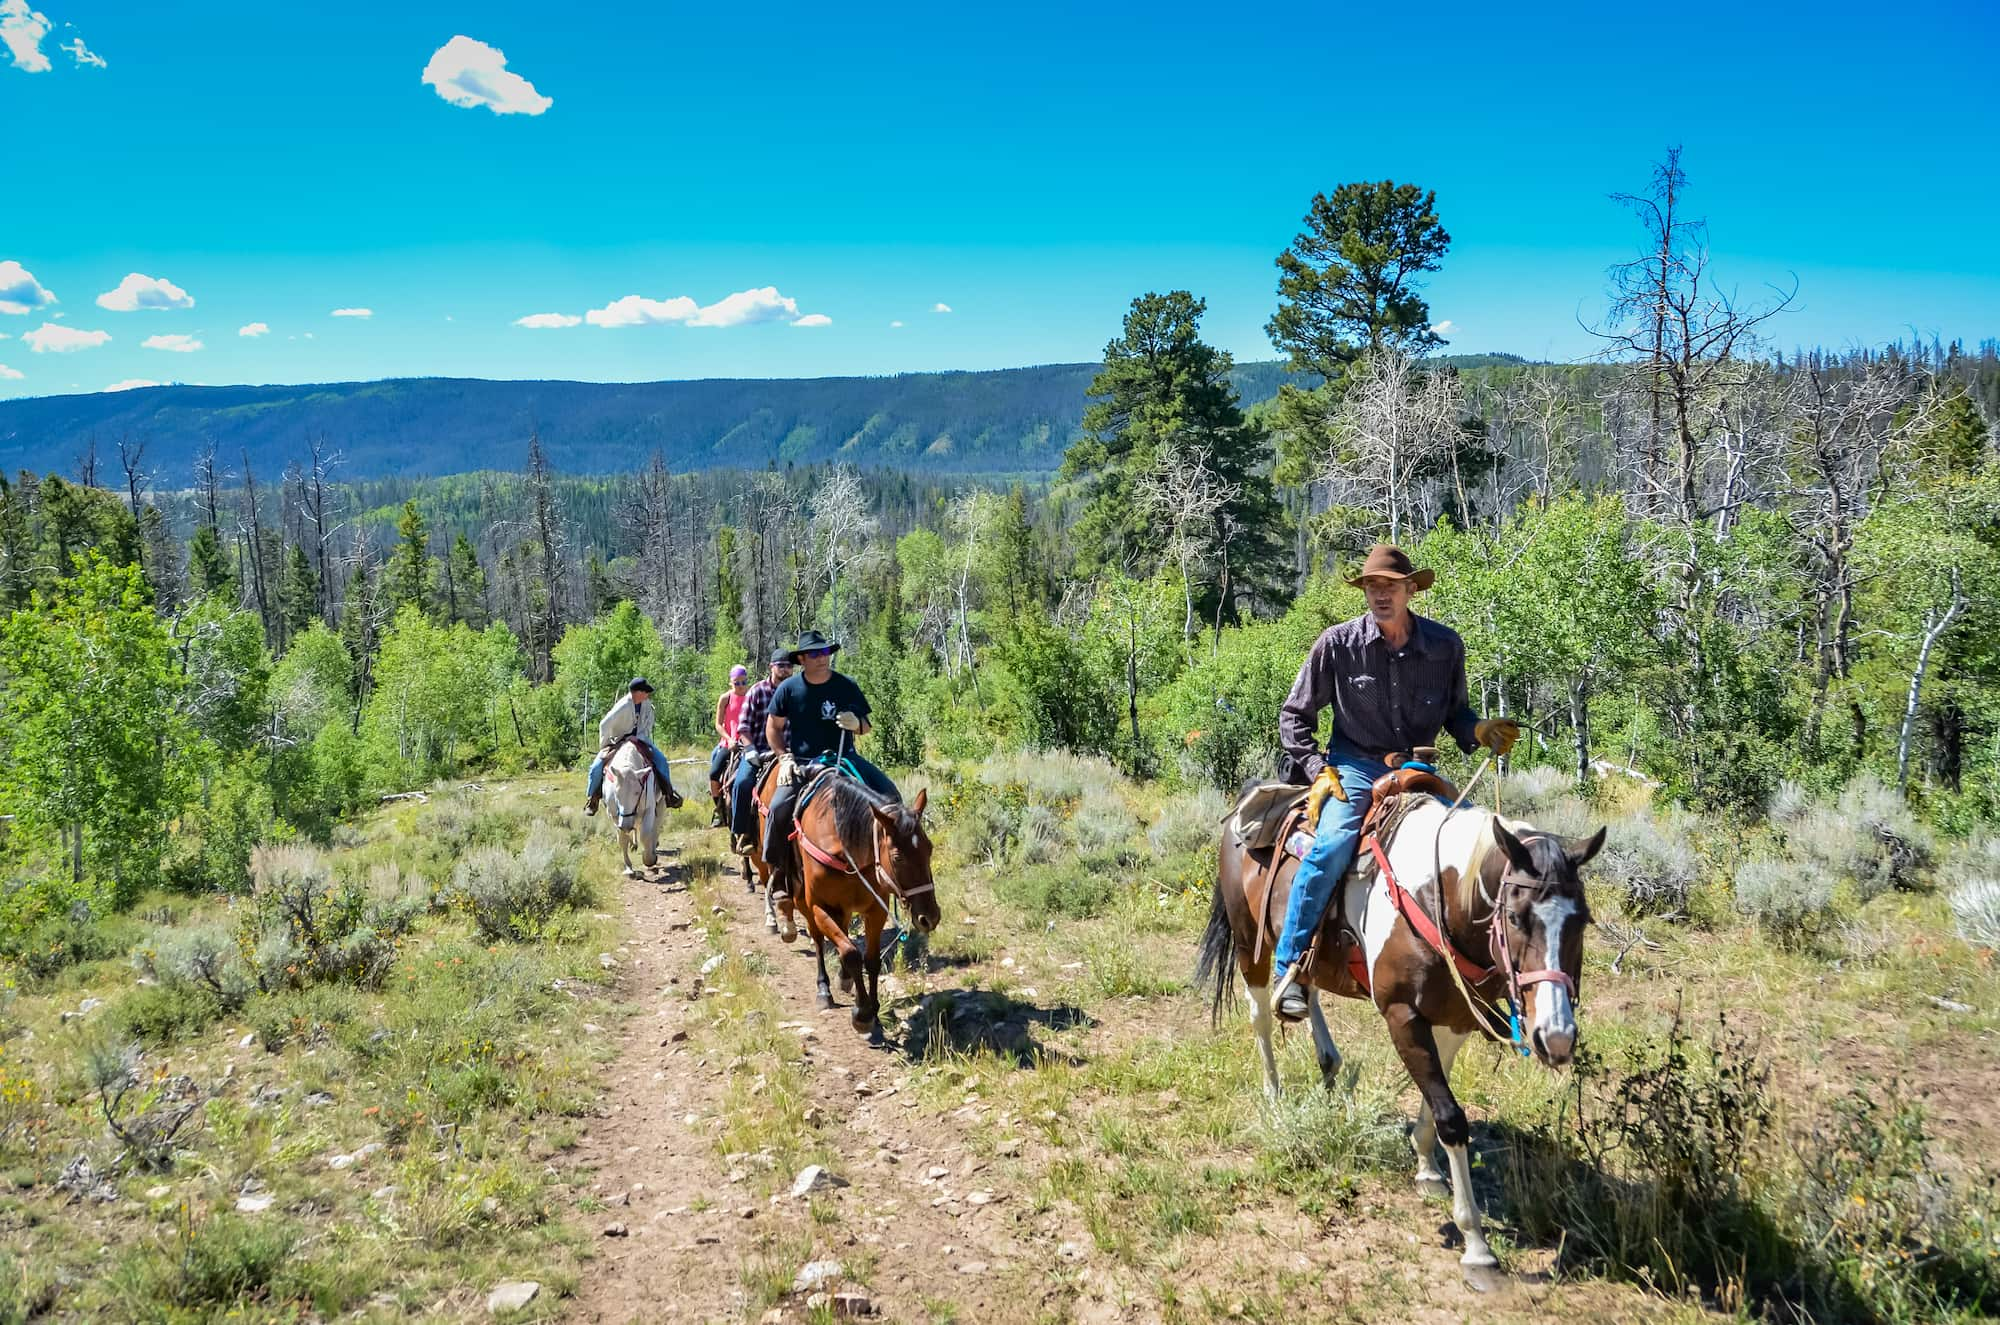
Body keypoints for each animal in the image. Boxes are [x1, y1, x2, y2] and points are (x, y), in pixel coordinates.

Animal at [1192, 792, 1600, 1280]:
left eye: (1583, 921)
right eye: (1517, 918)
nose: (1555, 1037)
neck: (1438, 897)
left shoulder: (1456, 1018)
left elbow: (1436, 1096)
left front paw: (1427, 1167)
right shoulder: (1402, 1015)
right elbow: (1450, 1116)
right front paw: (1476, 1245)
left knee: (1307, 989)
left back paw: (1326, 1058)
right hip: (1248, 939)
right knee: (1260, 1017)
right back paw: (1274, 1095)